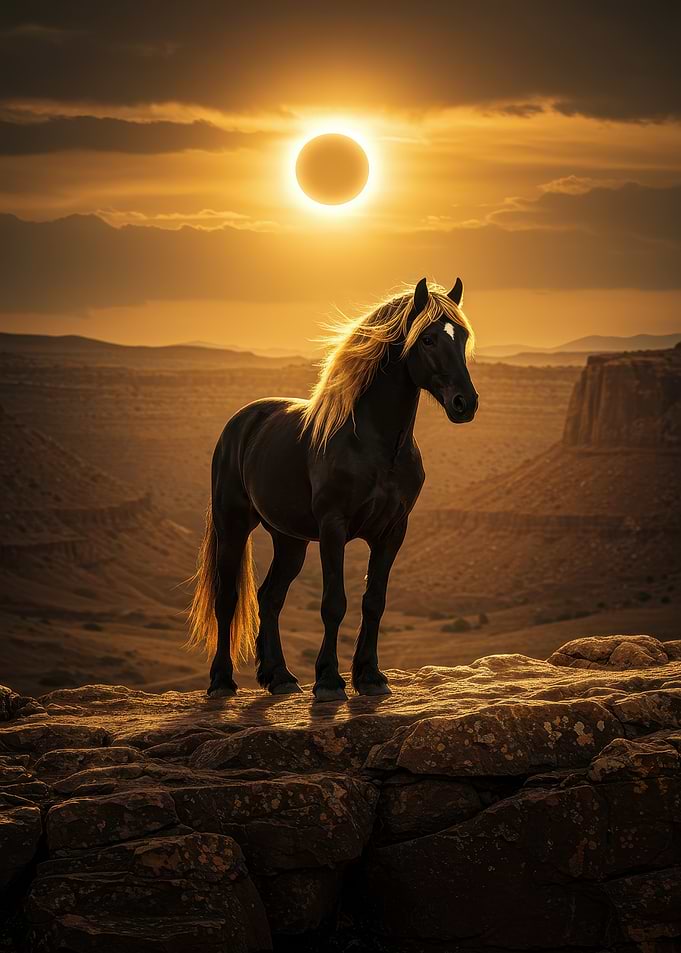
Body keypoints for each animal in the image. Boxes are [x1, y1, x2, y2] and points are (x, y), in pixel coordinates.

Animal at [189, 276, 478, 702]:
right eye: (427, 339)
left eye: (462, 337)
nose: (465, 403)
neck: (375, 445)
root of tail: (243, 420)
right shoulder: (333, 527)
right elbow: (333, 603)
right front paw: (328, 680)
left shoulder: (393, 531)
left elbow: (374, 601)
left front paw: (370, 676)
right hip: (233, 525)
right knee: (228, 599)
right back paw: (222, 681)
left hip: (289, 540)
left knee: (270, 597)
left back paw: (280, 677)